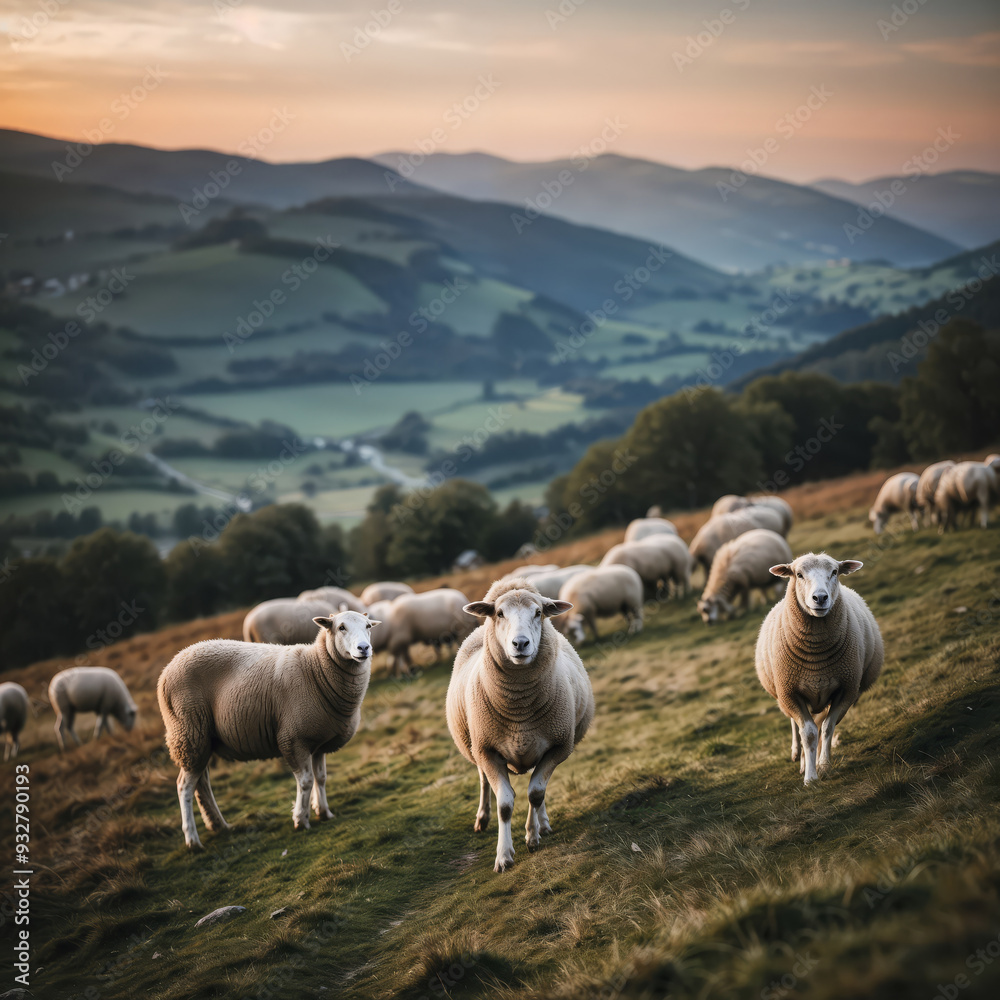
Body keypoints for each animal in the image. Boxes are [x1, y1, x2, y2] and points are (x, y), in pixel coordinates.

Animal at [157, 609, 380, 849]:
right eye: (341, 627)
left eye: (368, 626)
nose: (364, 648)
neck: (316, 670)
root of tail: (167, 669)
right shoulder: (294, 738)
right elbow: (306, 780)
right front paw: (301, 820)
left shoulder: (319, 741)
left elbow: (321, 778)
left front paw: (324, 812)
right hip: (187, 731)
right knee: (184, 786)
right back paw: (192, 839)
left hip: (201, 738)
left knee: (202, 782)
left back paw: (219, 825)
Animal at [446, 578, 594, 873]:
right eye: (499, 613)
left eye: (538, 613)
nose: (520, 643)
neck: (519, 709)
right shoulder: (487, 750)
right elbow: (504, 803)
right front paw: (503, 856)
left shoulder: (558, 746)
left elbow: (536, 793)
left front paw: (532, 837)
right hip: (475, 744)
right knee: (483, 781)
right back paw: (482, 818)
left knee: (539, 790)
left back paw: (543, 824)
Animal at [755, 553, 883, 785]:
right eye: (798, 574)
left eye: (834, 572)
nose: (820, 598)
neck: (816, 658)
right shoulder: (789, 693)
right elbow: (808, 733)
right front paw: (810, 777)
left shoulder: (847, 690)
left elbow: (826, 728)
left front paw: (822, 766)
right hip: (784, 693)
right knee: (796, 725)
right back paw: (798, 754)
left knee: (818, 722)